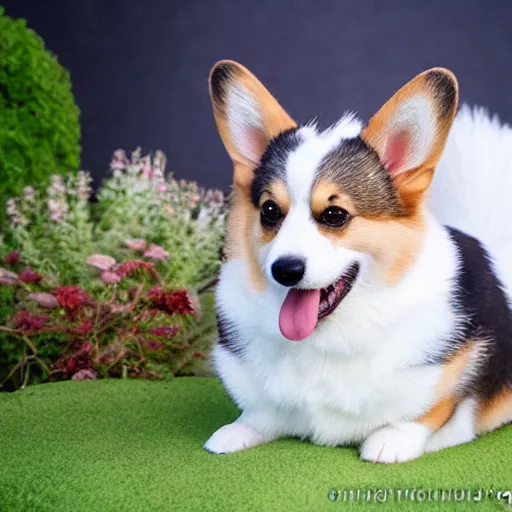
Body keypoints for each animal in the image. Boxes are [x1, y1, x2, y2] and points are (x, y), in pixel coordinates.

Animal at [203, 61, 512, 464]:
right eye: (270, 211)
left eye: (334, 215)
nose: (285, 271)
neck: (326, 340)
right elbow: (260, 412)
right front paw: (236, 431)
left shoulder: (462, 369)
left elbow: (432, 411)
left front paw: (390, 441)